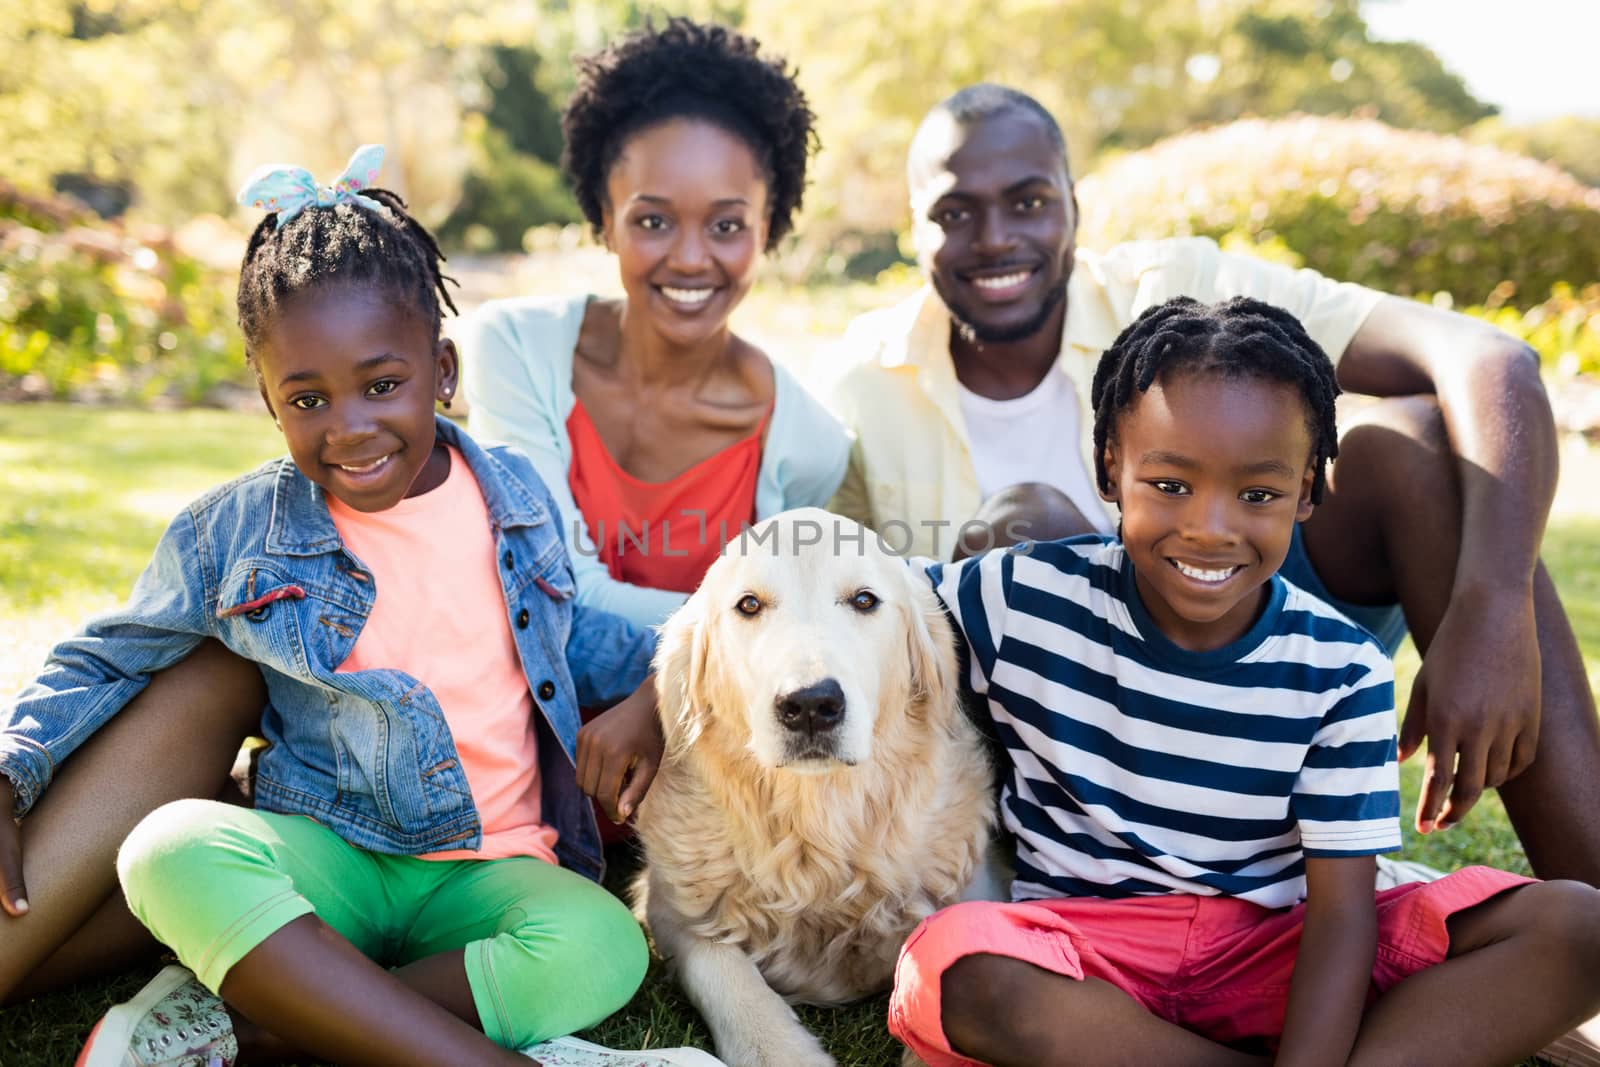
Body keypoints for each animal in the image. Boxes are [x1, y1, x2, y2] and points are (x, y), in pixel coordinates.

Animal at [630, 508, 992, 1067]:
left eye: (864, 600)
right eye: (749, 605)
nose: (809, 705)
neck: (815, 837)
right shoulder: (670, 910)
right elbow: (725, 973)